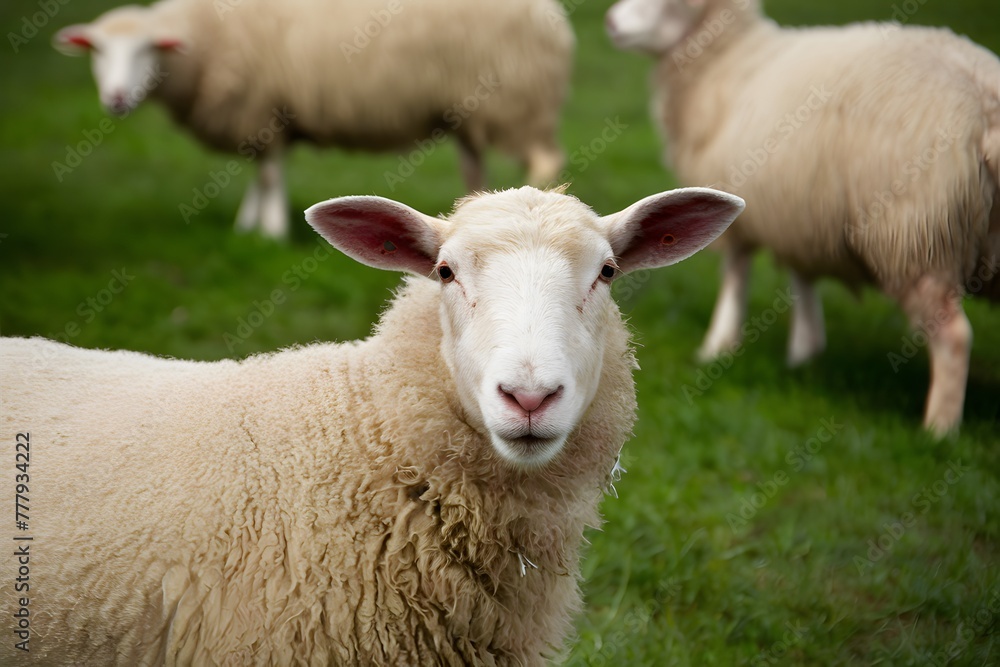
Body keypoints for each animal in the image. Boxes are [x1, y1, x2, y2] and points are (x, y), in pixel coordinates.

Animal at [52, 0, 572, 240]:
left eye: (146, 50)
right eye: (98, 51)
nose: (116, 100)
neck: (202, 43)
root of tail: (552, 17)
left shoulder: (260, 106)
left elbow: (268, 173)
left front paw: (271, 234)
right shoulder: (266, 115)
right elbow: (262, 173)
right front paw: (249, 225)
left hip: (516, 101)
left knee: (544, 162)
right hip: (469, 109)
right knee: (473, 166)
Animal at [600, 0, 1000, 438]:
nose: (610, 21)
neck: (726, 57)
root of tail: (986, 103)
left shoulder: (742, 205)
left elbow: (736, 272)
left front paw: (717, 344)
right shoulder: (796, 213)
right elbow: (801, 275)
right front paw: (805, 351)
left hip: (915, 238)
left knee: (954, 336)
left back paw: (938, 431)